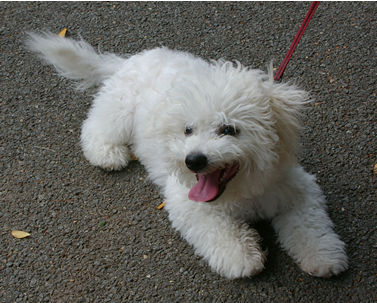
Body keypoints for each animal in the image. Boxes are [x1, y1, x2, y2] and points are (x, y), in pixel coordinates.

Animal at [26, 32, 348, 280]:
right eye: (188, 129)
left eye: (229, 129)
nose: (193, 160)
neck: (243, 191)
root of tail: (130, 60)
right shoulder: (187, 202)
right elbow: (217, 230)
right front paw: (242, 257)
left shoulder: (297, 188)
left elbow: (310, 226)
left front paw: (322, 256)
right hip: (119, 110)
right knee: (95, 128)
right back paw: (108, 154)